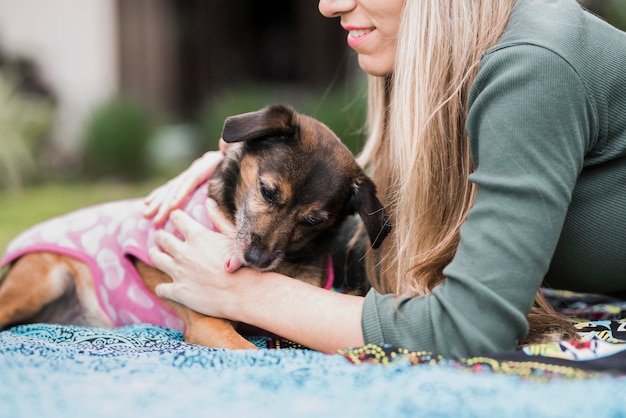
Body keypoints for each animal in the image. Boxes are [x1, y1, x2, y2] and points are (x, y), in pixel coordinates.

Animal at [0, 103, 388, 350]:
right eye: (267, 191)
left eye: (313, 220)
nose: (257, 259)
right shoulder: (207, 325)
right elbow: (251, 352)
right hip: (38, 282)